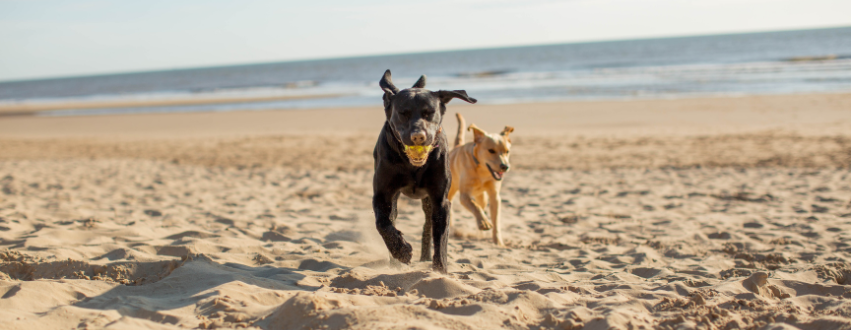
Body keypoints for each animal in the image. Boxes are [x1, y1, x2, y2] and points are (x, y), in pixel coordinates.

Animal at [374, 69, 480, 274]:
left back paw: (424, 256)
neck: (412, 166)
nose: (418, 136)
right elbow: (383, 224)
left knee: (427, 226)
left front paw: (440, 271)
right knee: (392, 220)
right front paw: (401, 251)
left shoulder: (440, 200)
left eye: (430, 113)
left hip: (428, 202)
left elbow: (441, 240)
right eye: (403, 113)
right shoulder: (383, 195)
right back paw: (395, 262)